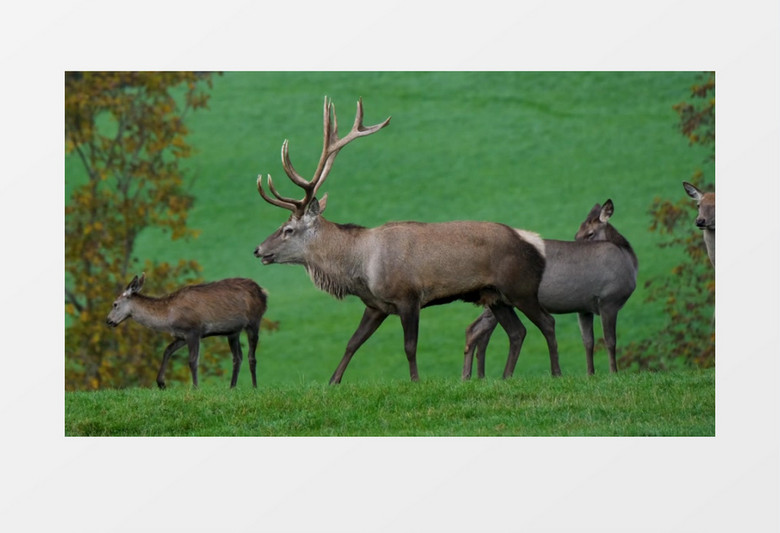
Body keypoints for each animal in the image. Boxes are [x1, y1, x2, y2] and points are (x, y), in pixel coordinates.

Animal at [105, 272, 268, 388]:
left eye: (115, 304)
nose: (108, 321)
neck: (168, 317)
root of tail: (263, 292)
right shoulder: (182, 335)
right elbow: (167, 350)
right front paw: (161, 383)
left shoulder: (193, 330)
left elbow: (192, 361)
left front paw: (195, 387)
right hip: (233, 331)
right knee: (237, 357)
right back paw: (232, 387)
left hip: (254, 321)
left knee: (251, 357)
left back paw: (254, 387)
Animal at [253, 96, 556, 382]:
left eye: (288, 229)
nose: (258, 250)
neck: (360, 267)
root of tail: (536, 245)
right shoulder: (375, 305)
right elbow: (352, 343)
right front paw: (332, 382)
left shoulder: (409, 296)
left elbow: (409, 346)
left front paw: (415, 381)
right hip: (496, 295)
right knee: (518, 331)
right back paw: (506, 376)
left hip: (521, 287)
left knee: (548, 322)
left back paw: (556, 373)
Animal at [460, 200, 636, 378]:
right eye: (577, 235)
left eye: (590, 233)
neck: (629, 262)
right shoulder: (609, 299)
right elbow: (610, 341)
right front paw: (613, 373)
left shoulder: (584, 307)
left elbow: (588, 341)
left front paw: (590, 374)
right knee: (478, 330)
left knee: (477, 330)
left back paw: (476, 377)